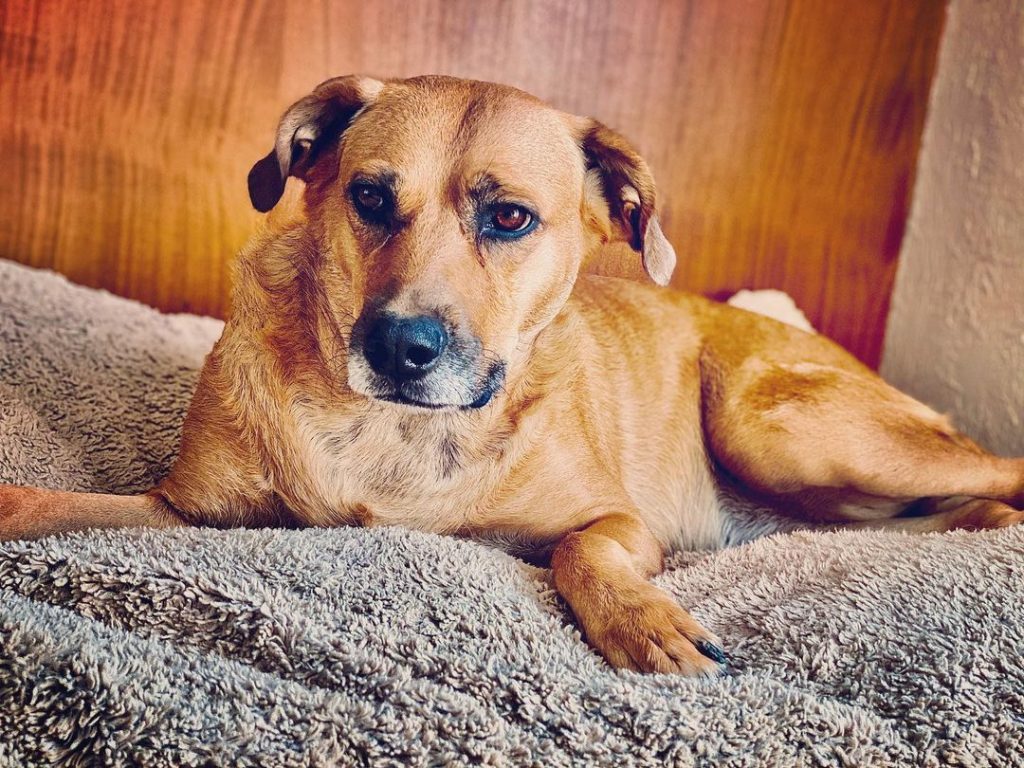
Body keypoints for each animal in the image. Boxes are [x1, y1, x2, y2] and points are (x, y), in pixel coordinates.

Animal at [2, 76, 1024, 679]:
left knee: (992, 468)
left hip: (771, 424)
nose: (400, 348)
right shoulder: (184, 516)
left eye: (510, 219)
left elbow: (581, 552)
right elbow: (42, 507)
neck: (396, 433)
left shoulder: (617, 522)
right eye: (369, 196)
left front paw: (645, 622)